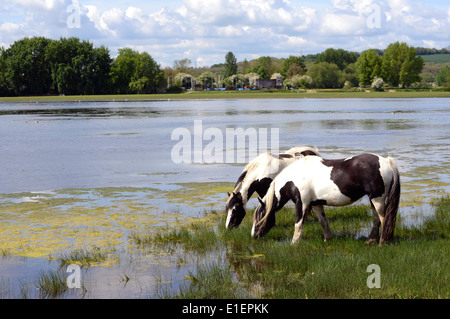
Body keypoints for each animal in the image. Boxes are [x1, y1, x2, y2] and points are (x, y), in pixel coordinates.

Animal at [253, 153, 400, 245]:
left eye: (260, 216)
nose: (254, 235)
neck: (295, 177)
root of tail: (386, 161)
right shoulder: (316, 204)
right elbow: (323, 221)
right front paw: (327, 238)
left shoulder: (302, 204)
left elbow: (298, 225)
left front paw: (293, 244)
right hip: (373, 200)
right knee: (376, 220)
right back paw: (371, 240)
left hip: (377, 200)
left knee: (384, 219)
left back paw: (382, 242)